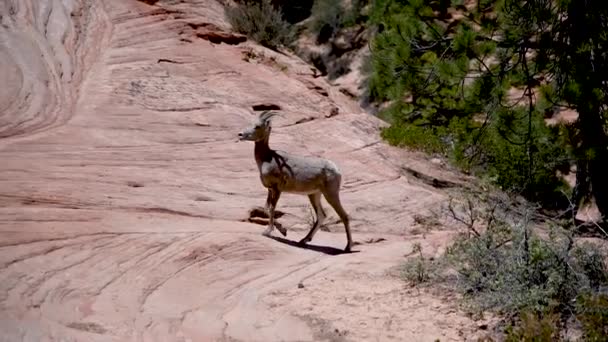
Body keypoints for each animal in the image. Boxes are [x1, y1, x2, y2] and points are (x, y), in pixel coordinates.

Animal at [236, 111, 354, 252]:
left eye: (257, 126)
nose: (240, 134)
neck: (267, 159)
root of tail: (336, 169)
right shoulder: (270, 190)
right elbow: (266, 209)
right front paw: (283, 231)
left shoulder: (277, 189)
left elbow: (272, 209)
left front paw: (268, 232)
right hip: (314, 195)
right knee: (321, 216)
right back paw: (304, 240)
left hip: (330, 194)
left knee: (344, 216)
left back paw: (347, 247)